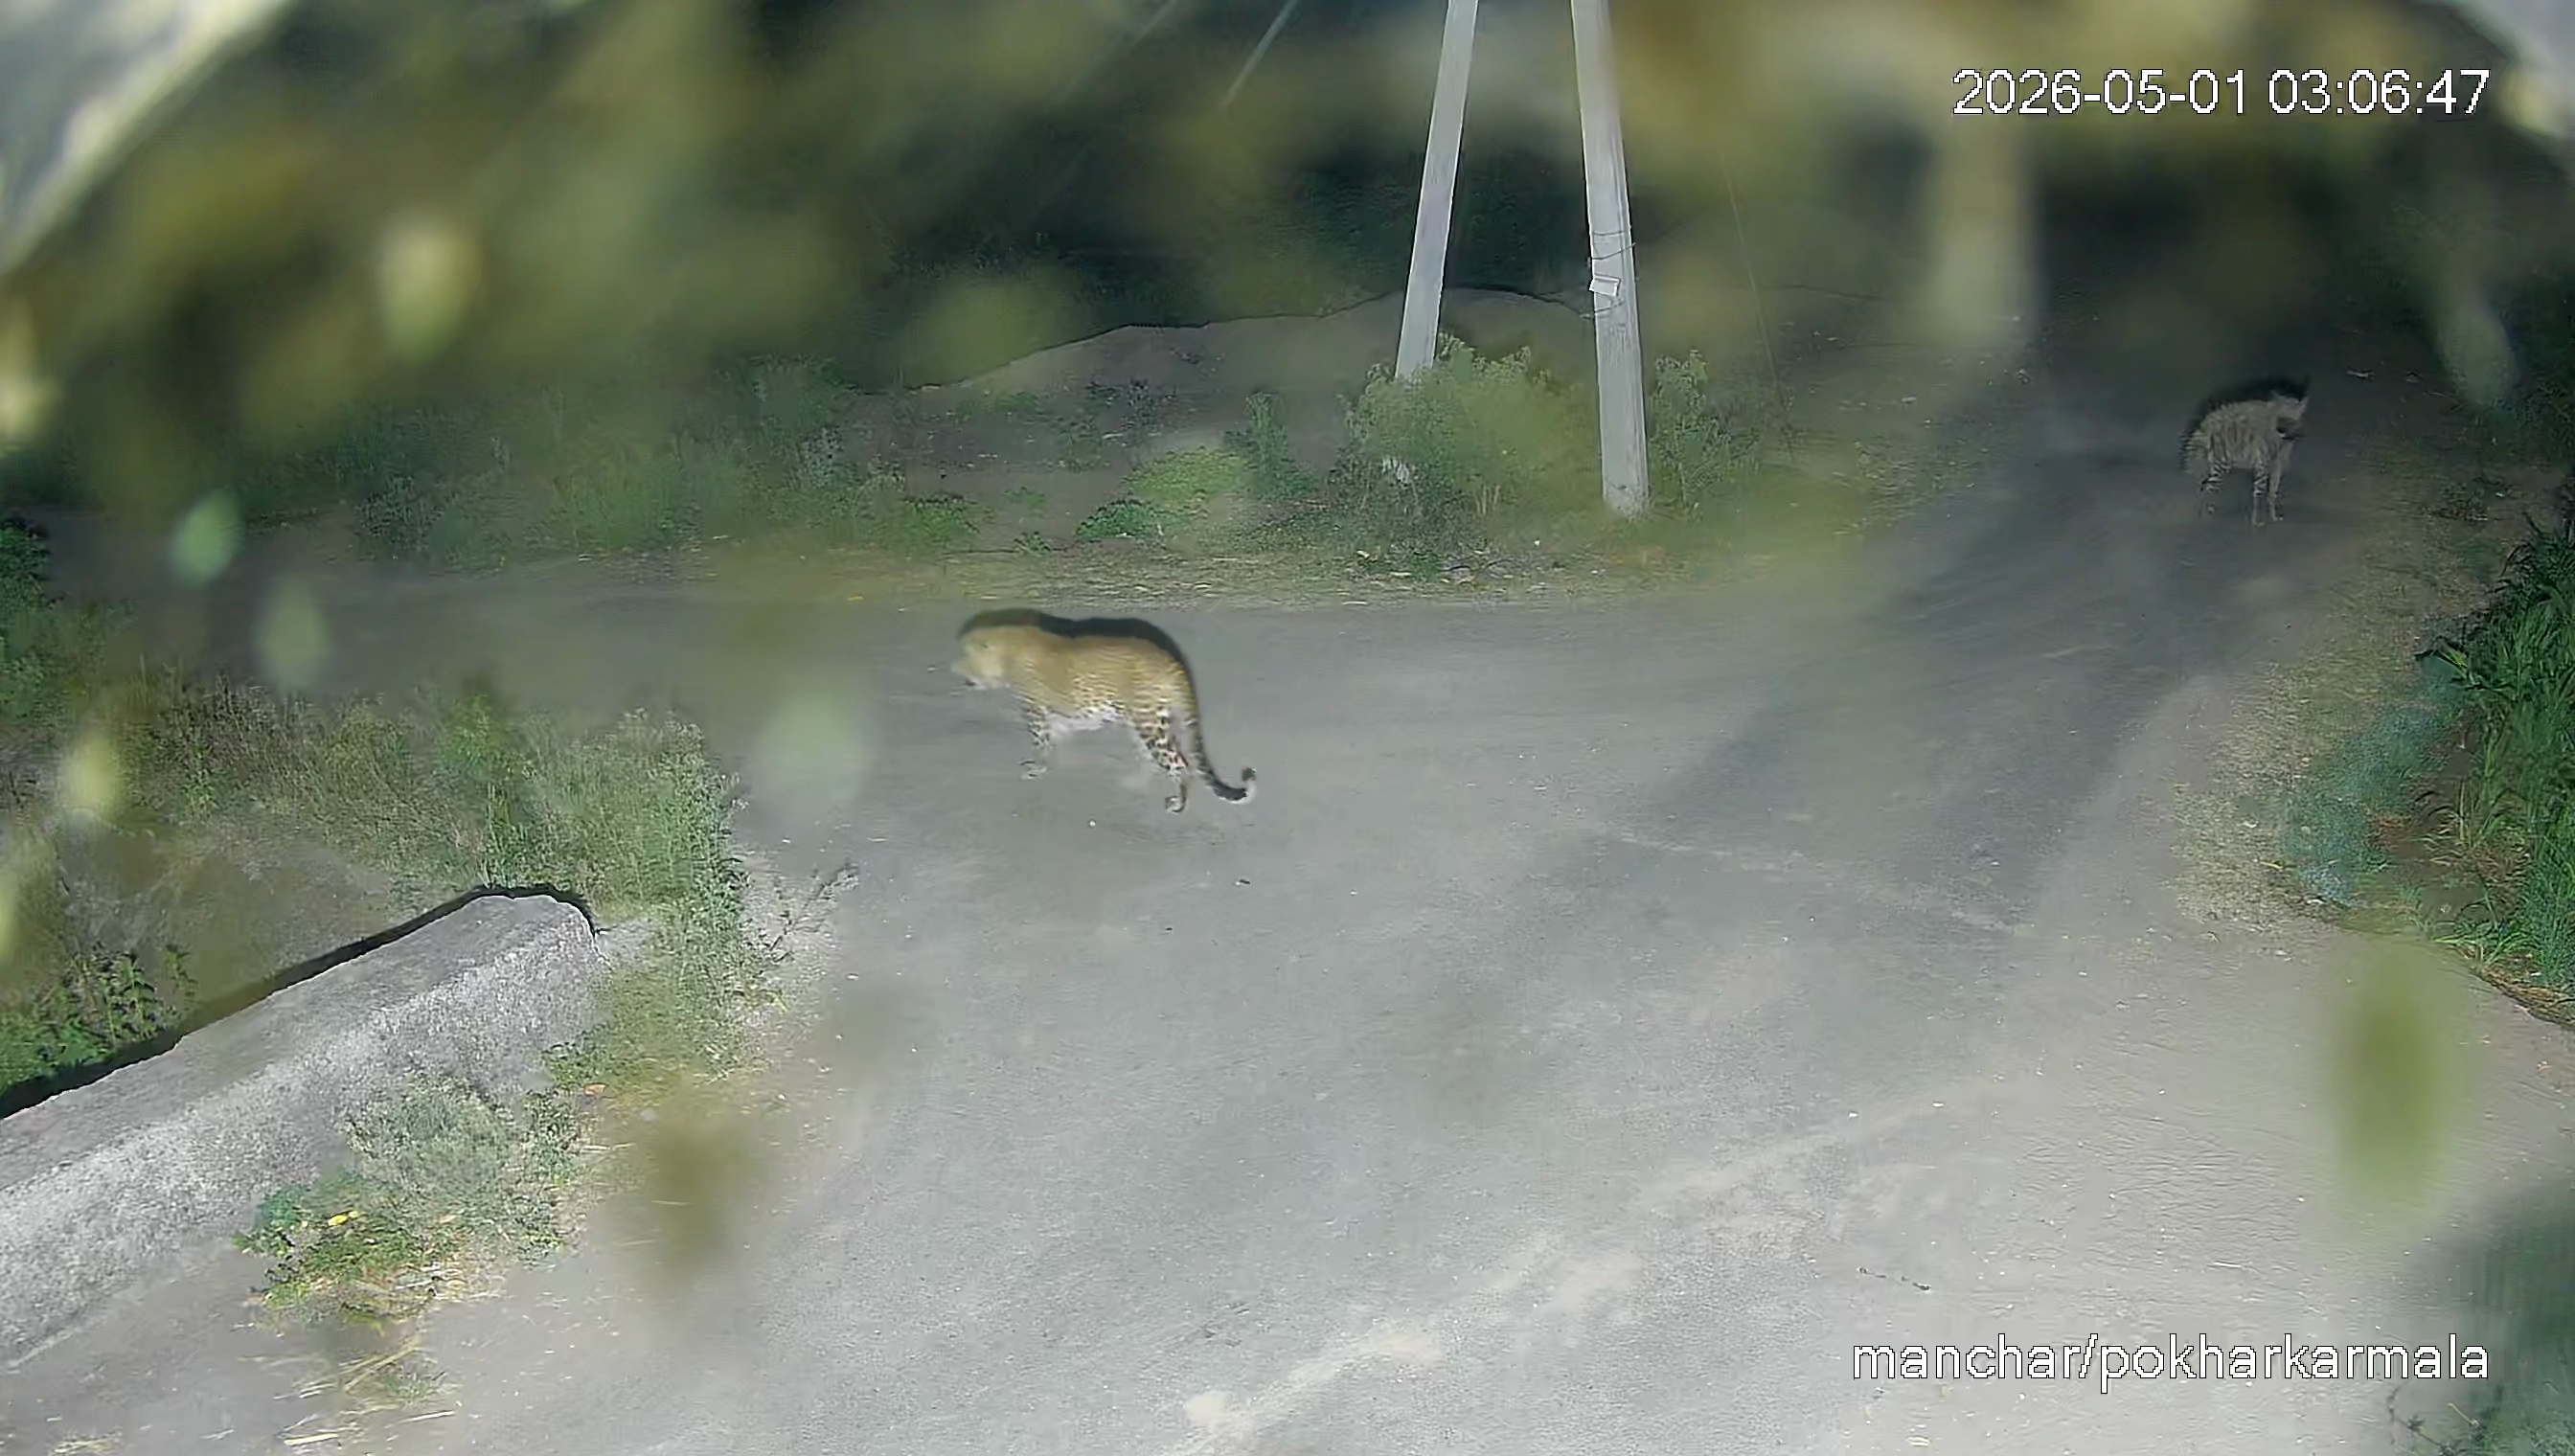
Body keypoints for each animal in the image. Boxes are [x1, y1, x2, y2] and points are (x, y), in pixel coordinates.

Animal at [951, 610, 1256, 814]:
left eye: (965, 657)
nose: (954, 670)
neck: (1008, 652)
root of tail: (1172, 662)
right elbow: (1057, 734)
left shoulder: (1034, 711)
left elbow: (1042, 741)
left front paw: (1038, 767)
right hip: (1144, 722)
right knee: (1156, 758)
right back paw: (1137, 780)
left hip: (1148, 723)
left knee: (1179, 763)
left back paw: (1178, 803)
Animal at [2180, 375, 2309, 526]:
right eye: (2280, 419)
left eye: (2289, 421)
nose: (2281, 430)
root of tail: (2208, 422)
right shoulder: (2262, 464)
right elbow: (2259, 491)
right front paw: (2256, 519)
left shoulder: (2278, 464)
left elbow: (2273, 491)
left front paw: (2273, 514)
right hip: (2221, 462)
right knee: (2209, 486)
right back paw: (2206, 513)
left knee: (2205, 483)